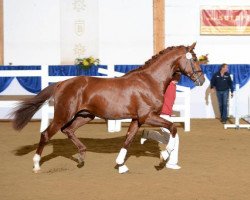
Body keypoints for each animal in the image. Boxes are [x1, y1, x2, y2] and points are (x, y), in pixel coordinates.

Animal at [11, 42, 205, 173]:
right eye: (195, 59)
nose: (202, 80)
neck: (150, 81)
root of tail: (61, 84)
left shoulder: (137, 119)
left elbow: (128, 139)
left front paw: (121, 164)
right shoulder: (147, 116)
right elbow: (172, 127)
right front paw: (165, 155)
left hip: (85, 115)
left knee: (68, 130)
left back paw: (81, 156)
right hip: (63, 115)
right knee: (46, 134)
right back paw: (36, 164)